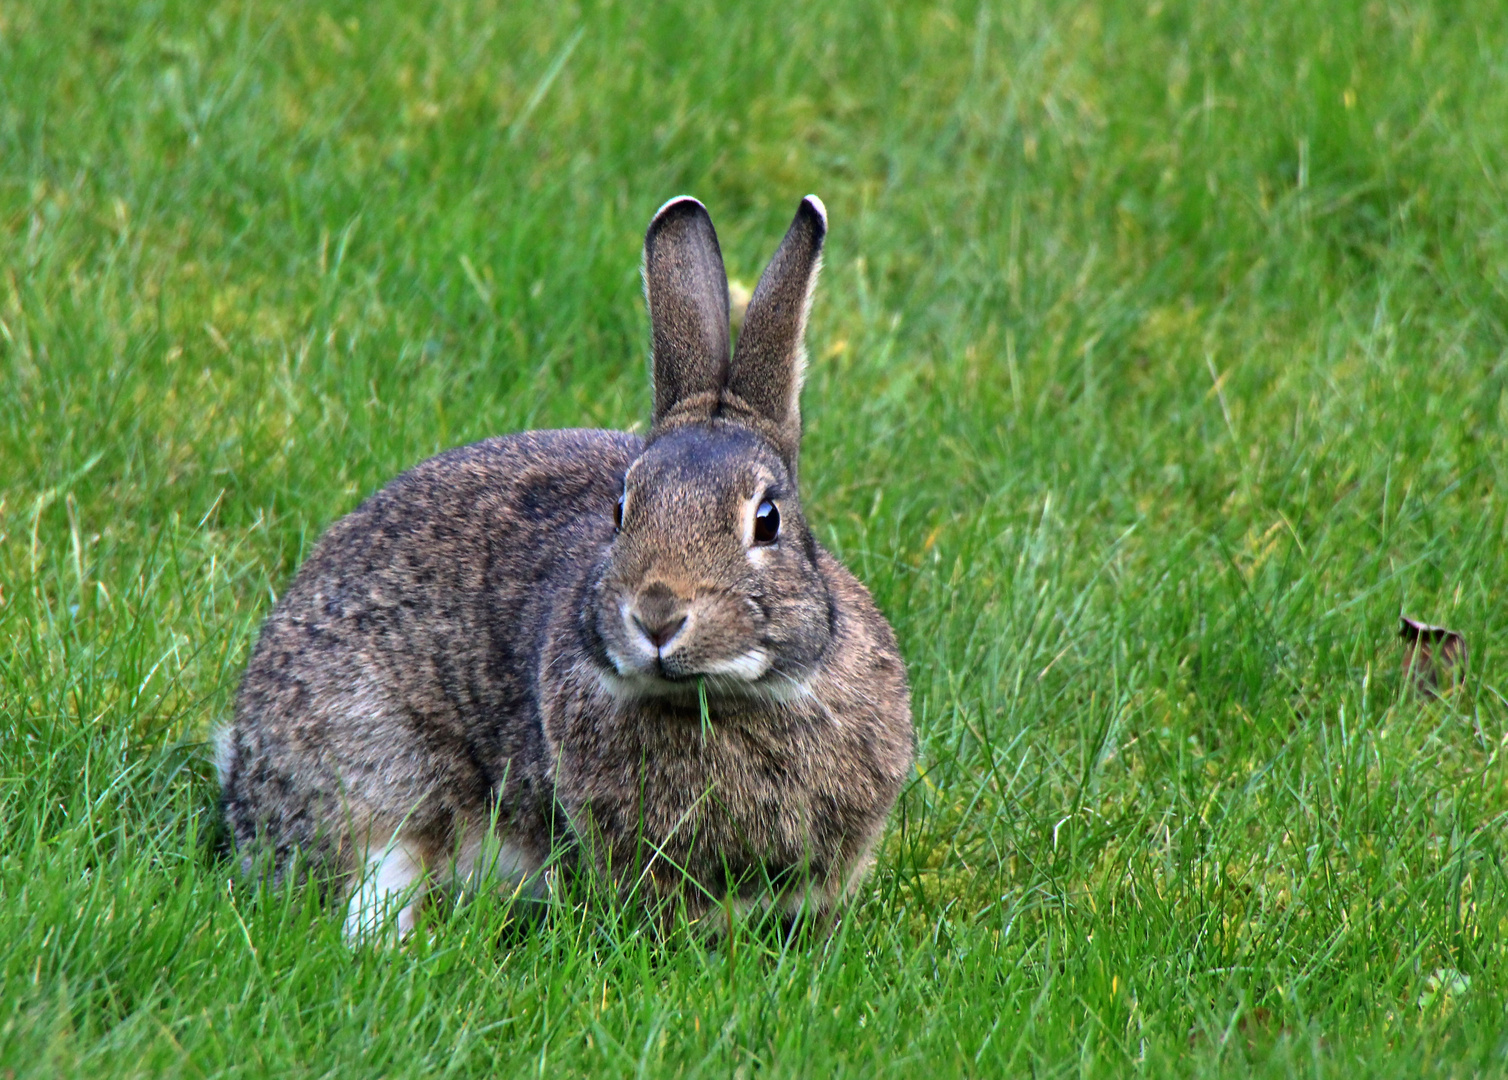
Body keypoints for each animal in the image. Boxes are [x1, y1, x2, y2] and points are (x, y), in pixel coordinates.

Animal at [218, 196, 910, 947]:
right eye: (622, 509)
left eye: (767, 519)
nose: (657, 616)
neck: (718, 701)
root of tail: (244, 772)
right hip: (373, 764)